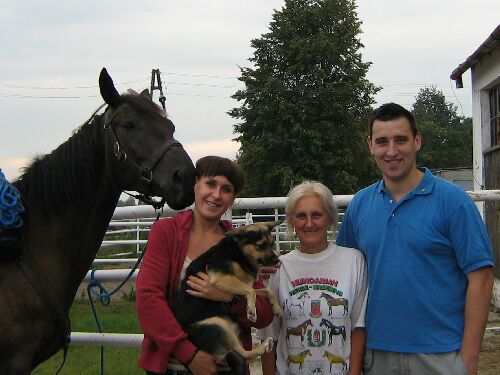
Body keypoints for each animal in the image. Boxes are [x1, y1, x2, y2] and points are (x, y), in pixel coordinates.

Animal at [172, 222, 282, 374]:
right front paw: (251, 310)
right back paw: (264, 346)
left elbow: (267, 290)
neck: (238, 253)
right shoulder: (220, 279)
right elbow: (251, 292)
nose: (277, 260)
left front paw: (276, 307)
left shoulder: (245, 284)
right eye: (260, 245)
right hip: (218, 324)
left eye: (271, 244)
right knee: (243, 354)